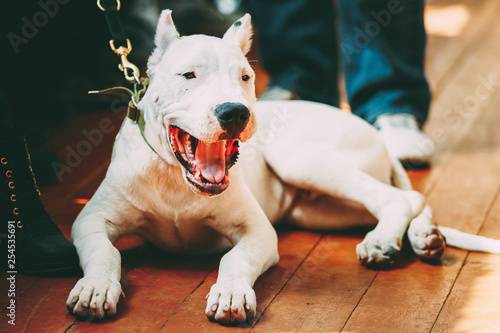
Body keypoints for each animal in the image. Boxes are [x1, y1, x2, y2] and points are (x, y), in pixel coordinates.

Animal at [66, 11, 500, 324]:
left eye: (245, 77)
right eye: (188, 75)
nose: (235, 112)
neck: (176, 179)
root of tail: (374, 133)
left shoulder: (257, 232)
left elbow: (234, 258)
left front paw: (230, 293)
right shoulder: (90, 220)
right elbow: (105, 253)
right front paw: (94, 288)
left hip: (300, 159)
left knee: (400, 198)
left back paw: (384, 241)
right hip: (321, 209)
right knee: (409, 200)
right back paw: (425, 237)